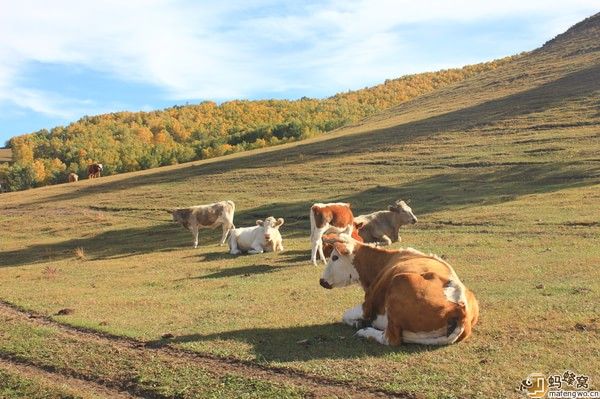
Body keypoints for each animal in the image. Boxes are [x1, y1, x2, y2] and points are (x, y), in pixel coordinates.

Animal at [318, 234, 478, 346]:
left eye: (335, 257)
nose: (321, 281)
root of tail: (460, 307)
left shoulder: (368, 304)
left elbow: (345, 314)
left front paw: (358, 323)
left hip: (400, 281)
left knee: (391, 339)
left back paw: (365, 331)